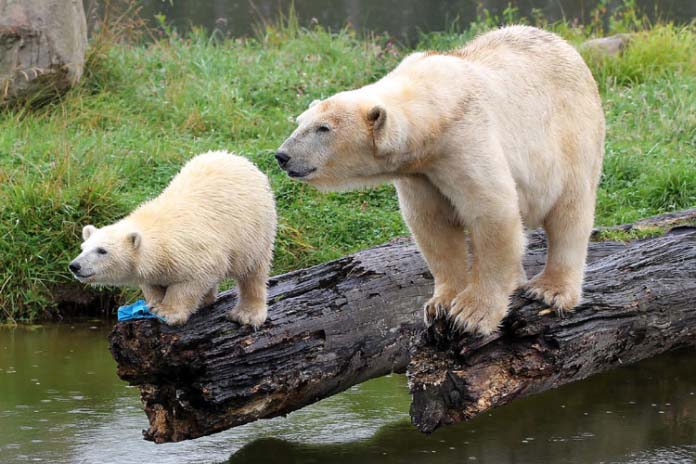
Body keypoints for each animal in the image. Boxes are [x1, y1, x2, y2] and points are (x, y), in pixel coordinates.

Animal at [278, 25, 604, 334]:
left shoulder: (464, 141)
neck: (432, 110)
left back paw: (550, 290)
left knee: (570, 214)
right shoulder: (419, 172)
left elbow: (492, 214)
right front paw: (440, 305)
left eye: (323, 128)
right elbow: (433, 225)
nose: (282, 156)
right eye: (300, 122)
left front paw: (471, 314)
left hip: (573, 137)